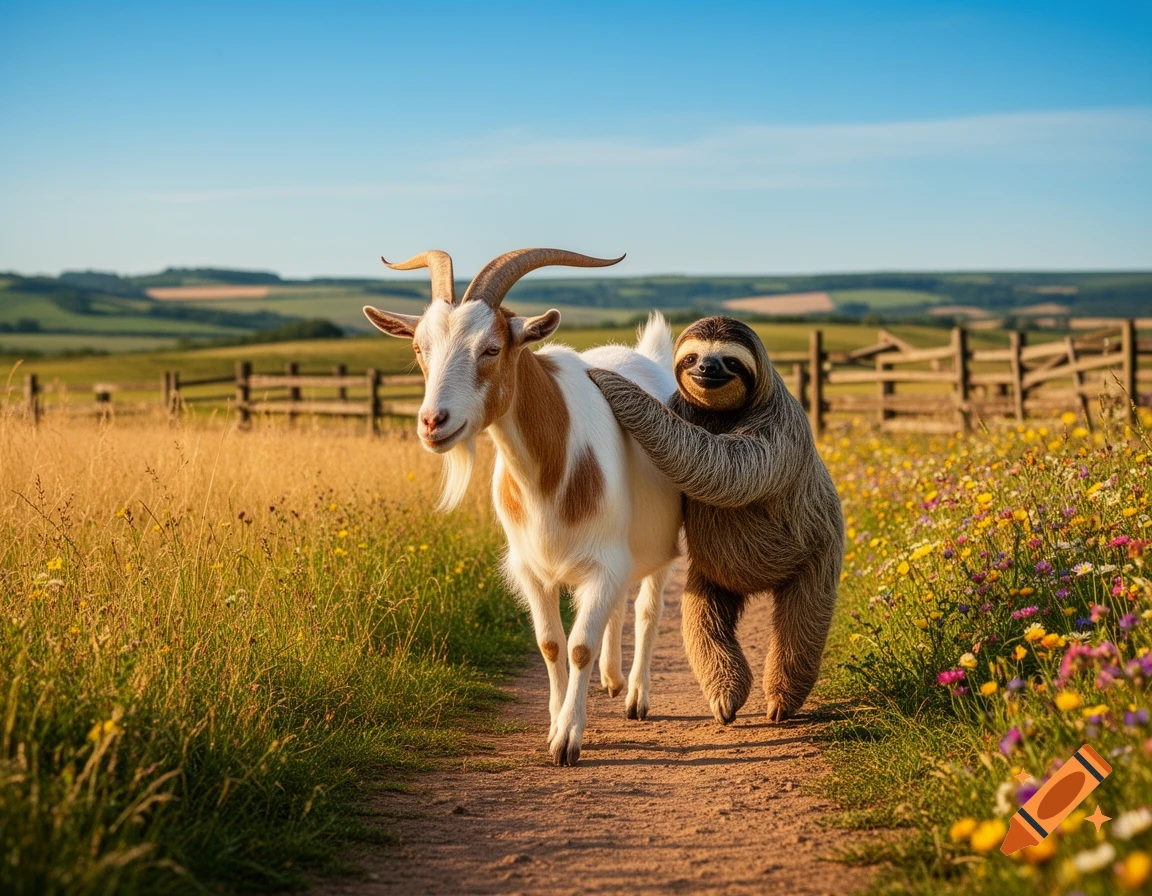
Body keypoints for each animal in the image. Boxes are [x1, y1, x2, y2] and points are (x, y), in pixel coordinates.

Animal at [363, 248, 681, 766]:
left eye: (492, 349)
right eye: (419, 349)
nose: (432, 422)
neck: (549, 472)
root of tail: (648, 357)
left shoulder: (603, 563)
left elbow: (579, 646)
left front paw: (567, 739)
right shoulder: (532, 566)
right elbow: (551, 644)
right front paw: (554, 725)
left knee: (648, 607)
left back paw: (636, 695)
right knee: (618, 607)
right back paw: (612, 680)